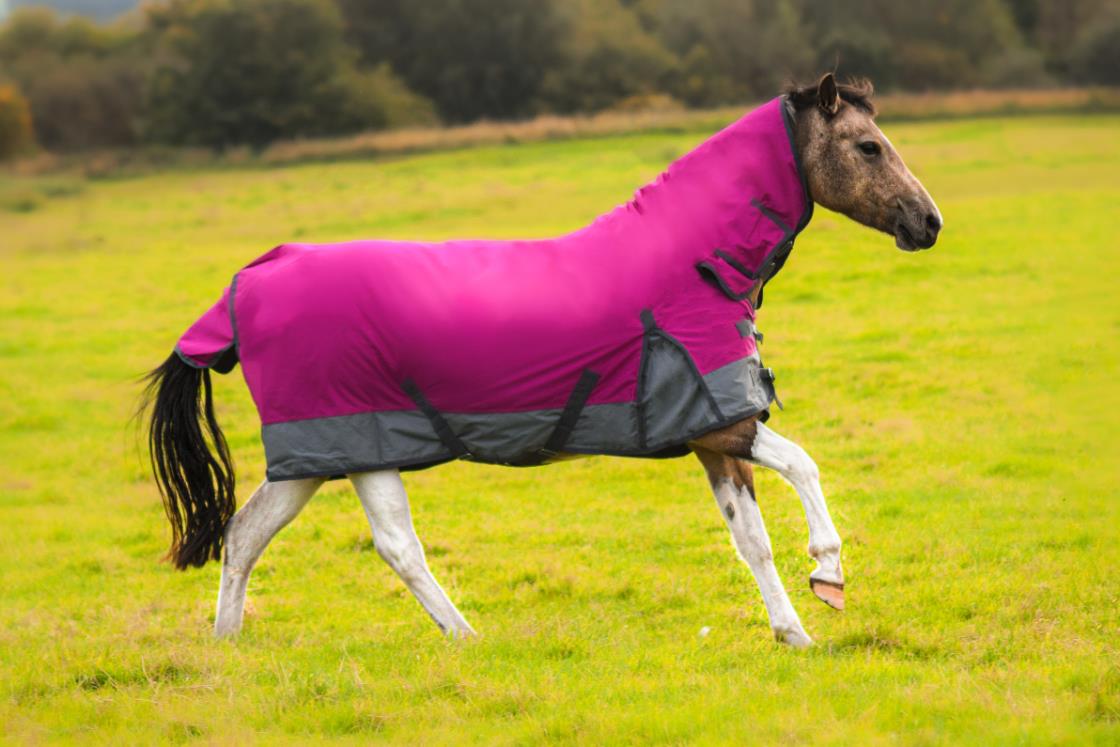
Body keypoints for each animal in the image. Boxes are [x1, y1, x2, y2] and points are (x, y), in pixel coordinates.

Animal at [144, 73, 940, 647]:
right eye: (868, 147)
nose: (927, 222)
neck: (691, 265)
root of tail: (247, 285)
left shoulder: (711, 437)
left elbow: (752, 541)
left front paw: (793, 633)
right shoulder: (726, 421)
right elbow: (805, 465)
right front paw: (829, 572)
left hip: (321, 452)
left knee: (246, 535)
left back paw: (227, 645)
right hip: (360, 443)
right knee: (397, 546)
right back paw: (466, 636)